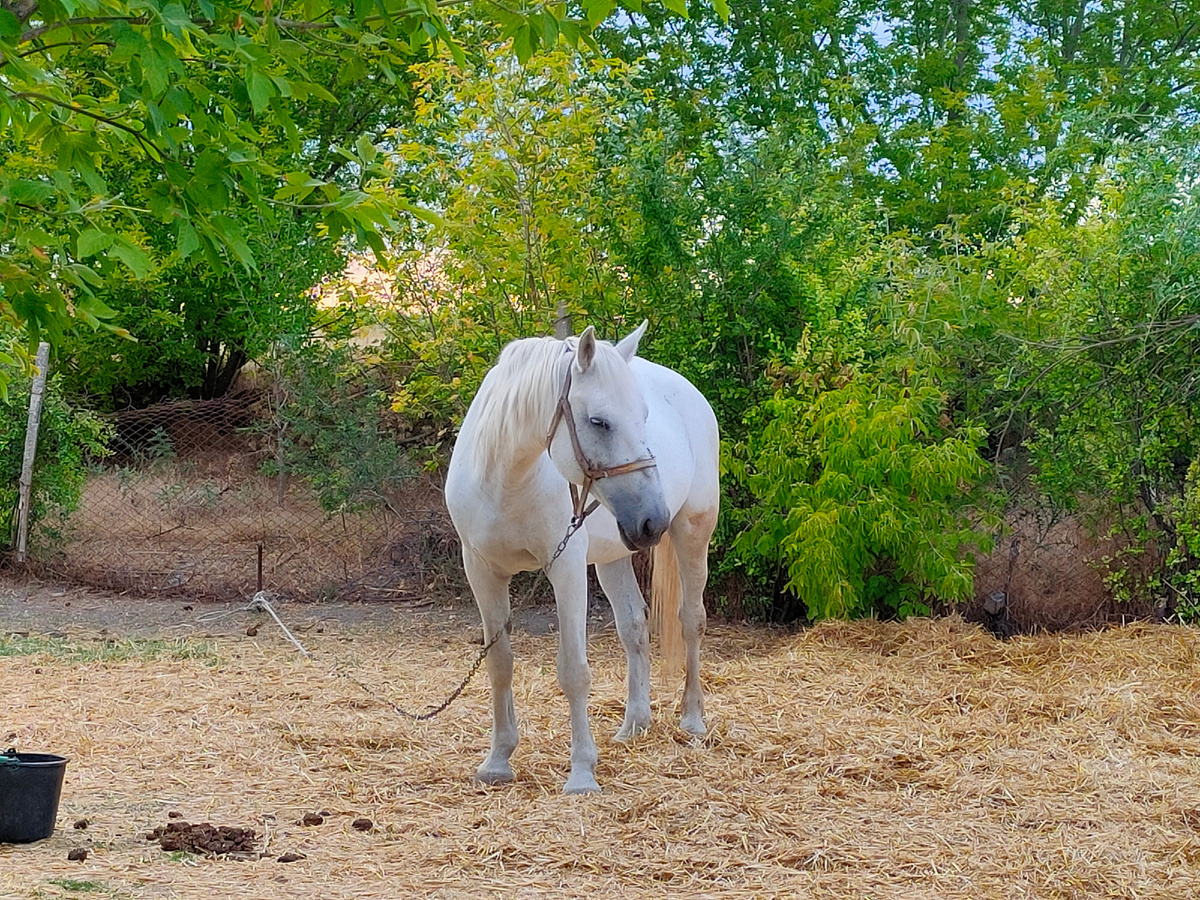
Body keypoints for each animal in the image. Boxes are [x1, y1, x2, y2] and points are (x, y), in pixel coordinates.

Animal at [446, 321, 715, 792]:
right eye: (599, 422)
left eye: (644, 417)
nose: (653, 520)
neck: (507, 479)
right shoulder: (481, 571)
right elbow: (499, 664)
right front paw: (497, 761)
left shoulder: (566, 569)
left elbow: (574, 671)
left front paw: (582, 772)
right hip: (614, 555)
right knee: (634, 627)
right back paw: (634, 724)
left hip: (692, 533)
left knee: (691, 621)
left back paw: (692, 719)